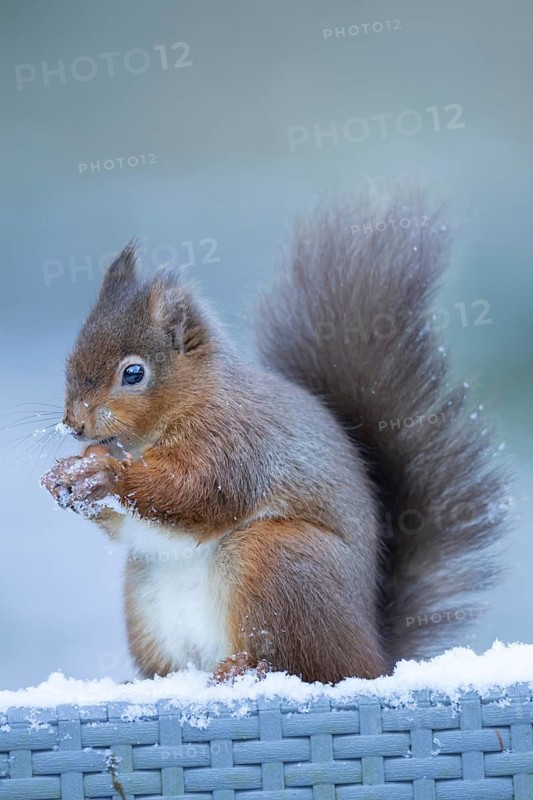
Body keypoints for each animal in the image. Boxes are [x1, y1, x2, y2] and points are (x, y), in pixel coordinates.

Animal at [41, 188, 507, 684]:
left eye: (133, 373)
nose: (74, 424)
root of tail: (376, 655)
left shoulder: (234, 442)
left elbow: (195, 493)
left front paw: (104, 474)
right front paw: (66, 477)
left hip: (276, 562)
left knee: (309, 665)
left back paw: (249, 667)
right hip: (146, 596)